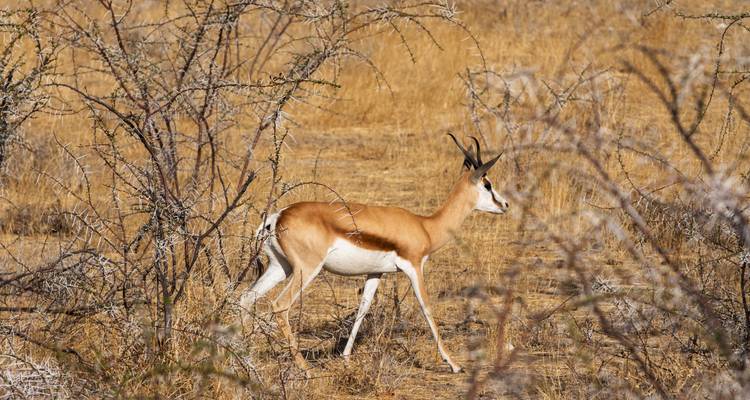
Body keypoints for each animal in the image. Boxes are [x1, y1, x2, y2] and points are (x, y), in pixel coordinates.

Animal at [240, 134, 509, 373]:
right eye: (488, 185)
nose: (505, 205)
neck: (426, 226)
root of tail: (277, 217)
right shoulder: (414, 267)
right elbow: (427, 308)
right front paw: (453, 364)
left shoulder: (376, 273)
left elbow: (363, 309)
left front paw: (346, 358)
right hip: (306, 270)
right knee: (279, 305)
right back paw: (304, 368)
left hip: (280, 267)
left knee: (245, 298)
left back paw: (246, 358)